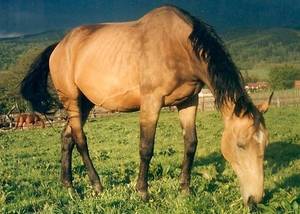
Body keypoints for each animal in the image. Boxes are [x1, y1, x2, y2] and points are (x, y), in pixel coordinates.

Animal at [21, 5, 274, 206]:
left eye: (264, 145)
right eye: (241, 145)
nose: (255, 199)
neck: (178, 46)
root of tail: (59, 46)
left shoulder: (188, 102)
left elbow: (191, 144)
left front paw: (185, 189)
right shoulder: (151, 102)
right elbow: (146, 147)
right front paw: (142, 192)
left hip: (86, 103)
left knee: (67, 137)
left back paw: (69, 187)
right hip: (71, 99)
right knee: (80, 140)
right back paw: (97, 186)